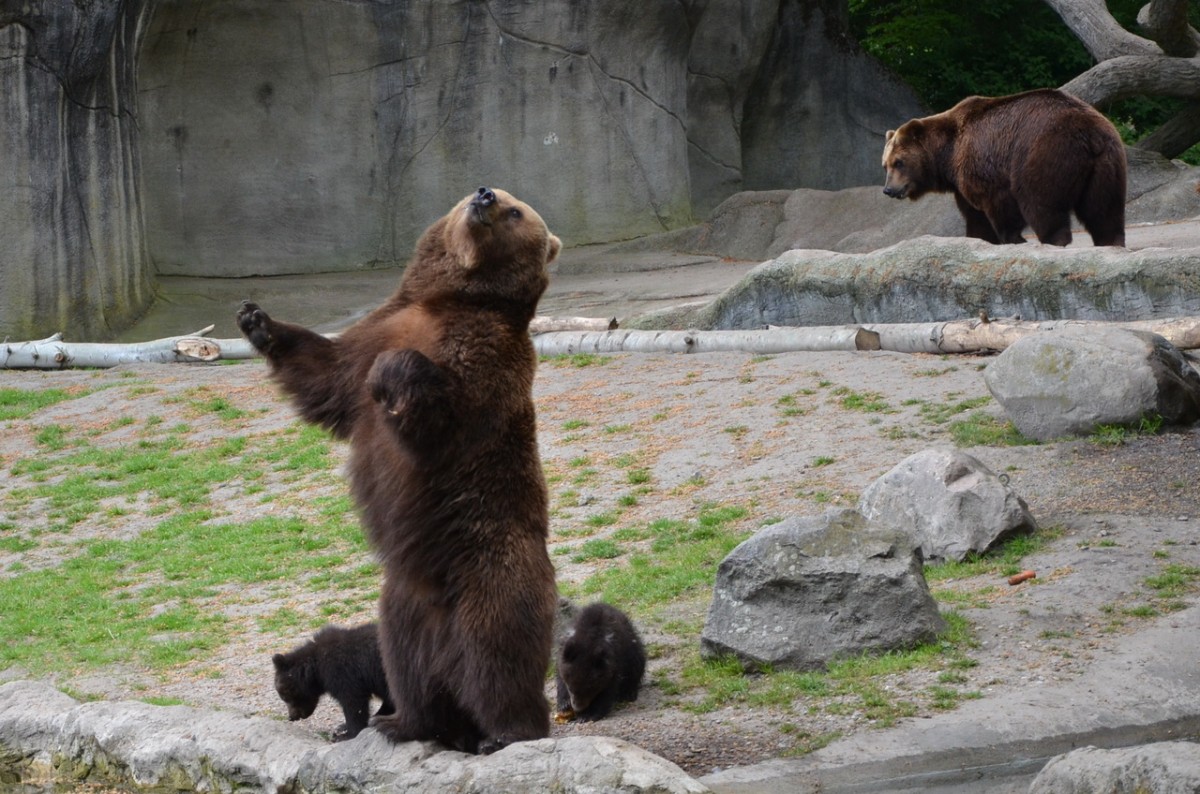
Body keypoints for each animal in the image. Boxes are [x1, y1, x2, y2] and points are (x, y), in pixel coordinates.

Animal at [243, 187, 566, 758]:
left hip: (492, 573)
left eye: (516, 211)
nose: (485, 196)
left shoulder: (485, 364)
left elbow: (440, 415)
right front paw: (258, 320)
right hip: (403, 609)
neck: (452, 301)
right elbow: (325, 374)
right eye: (484, 191)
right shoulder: (377, 332)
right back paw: (404, 723)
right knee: (410, 669)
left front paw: (397, 374)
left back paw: (504, 732)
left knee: (497, 658)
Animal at [883, 88, 1123, 247]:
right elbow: (976, 218)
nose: (888, 189)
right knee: (1104, 211)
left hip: (1046, 153)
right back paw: (1111, 243)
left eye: (899, 162)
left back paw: (1053, 241)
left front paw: (1013, 238)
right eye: (885, 164)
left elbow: (1001, 204)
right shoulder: (962, 186)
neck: (948, 155)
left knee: (1041, 203)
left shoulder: (982, 163)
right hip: (1106, 164)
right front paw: (981, 239)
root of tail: (1090, 132)